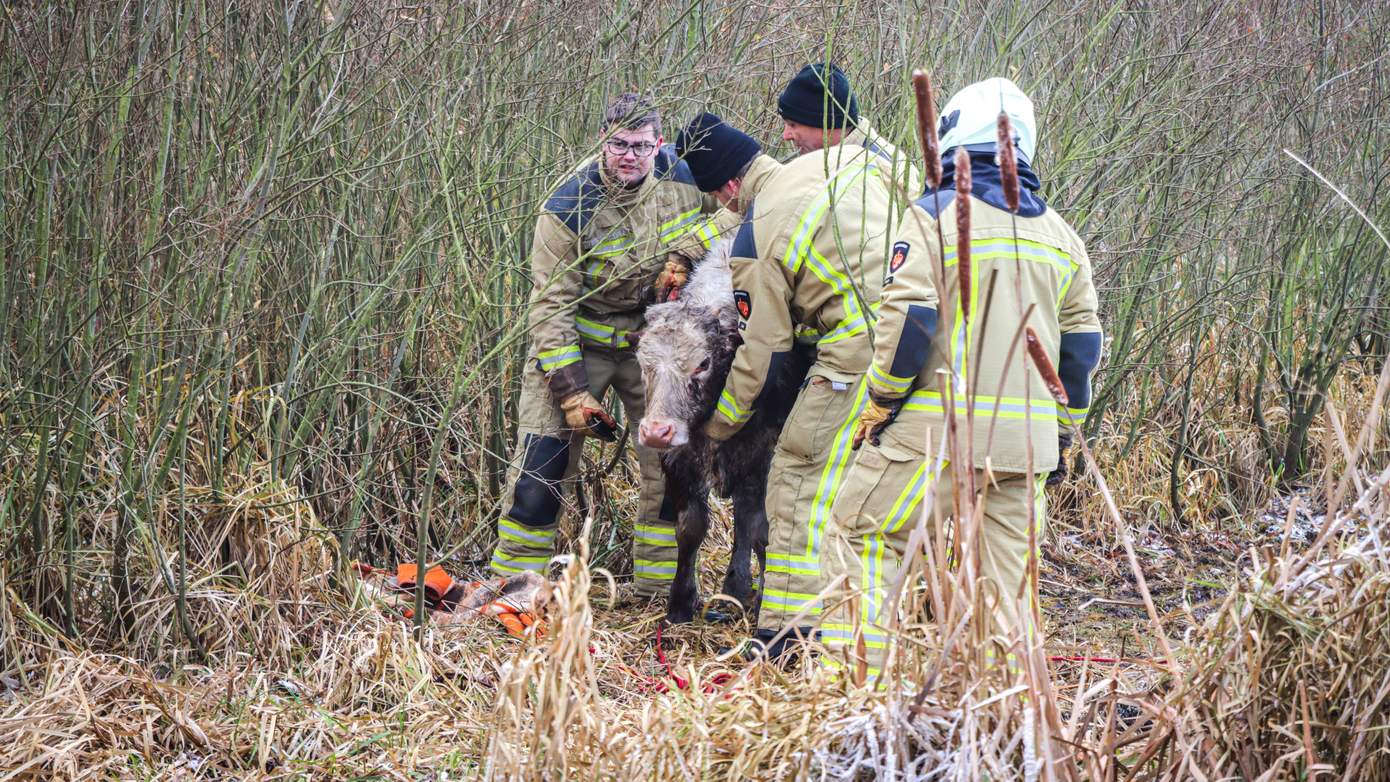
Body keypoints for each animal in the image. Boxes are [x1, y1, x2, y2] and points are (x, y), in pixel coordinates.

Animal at [633, 238, 811, 625]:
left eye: (702, 363)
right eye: (643, 362)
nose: (656, 431)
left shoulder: (765, 455)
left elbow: (762, 531)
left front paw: (764, 606)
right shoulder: (679, 459)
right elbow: (690, 527)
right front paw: (680, 603)